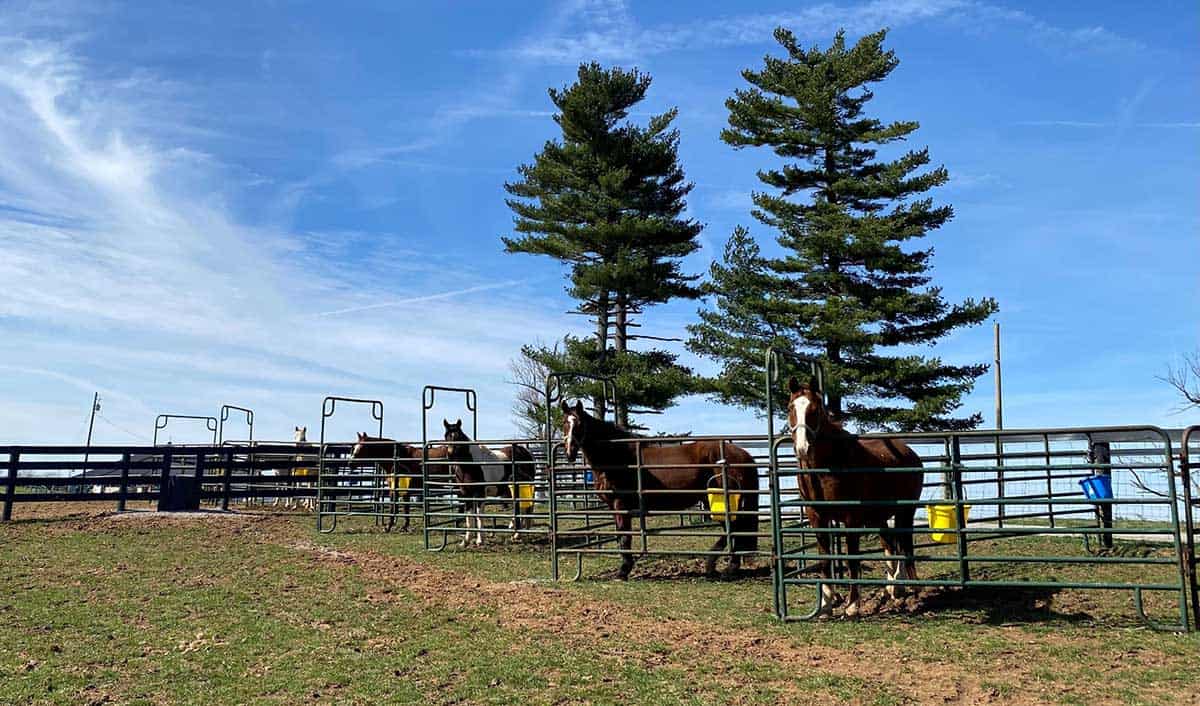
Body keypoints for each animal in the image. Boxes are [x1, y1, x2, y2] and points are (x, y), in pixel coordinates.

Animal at [554, 401, 758, 581]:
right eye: (564, 423)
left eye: (579, 424)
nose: (569, 452)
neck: (618, 457)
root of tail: (743, 455)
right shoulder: (613, 507)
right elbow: (620, 536)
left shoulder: (621, 505)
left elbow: (625, 538)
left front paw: (623, 571)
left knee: (734, 530)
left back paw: (723, 567)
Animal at [787, 374, 926, 619]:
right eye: (790, 407)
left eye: (815, 409)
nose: (802, 447)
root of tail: (910, 453)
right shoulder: (817, 517)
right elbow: (824, 560)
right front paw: (825, 606)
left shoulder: (851, 518)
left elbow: (853, 559)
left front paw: (852, 606)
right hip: (880, 516)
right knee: (891, 544)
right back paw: (892, 589)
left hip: (905, 511)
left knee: (904, 544)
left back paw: (905, 589)